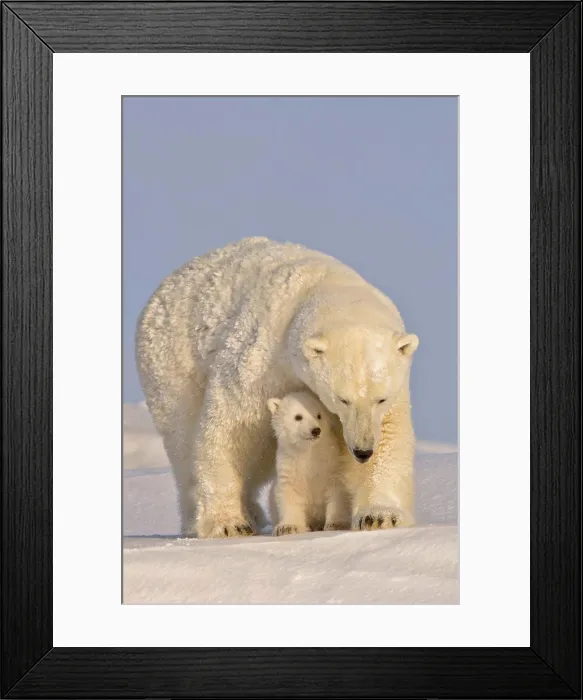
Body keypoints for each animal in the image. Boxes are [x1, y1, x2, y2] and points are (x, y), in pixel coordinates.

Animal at [267, 391, 351, 536]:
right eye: (298, 417)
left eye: (319, 415)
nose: (315, 430)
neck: (308, 453)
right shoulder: (289, 466)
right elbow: (288, 493)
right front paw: (288, 527)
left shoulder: (332, 465)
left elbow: (337, 491)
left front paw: (336, 524)